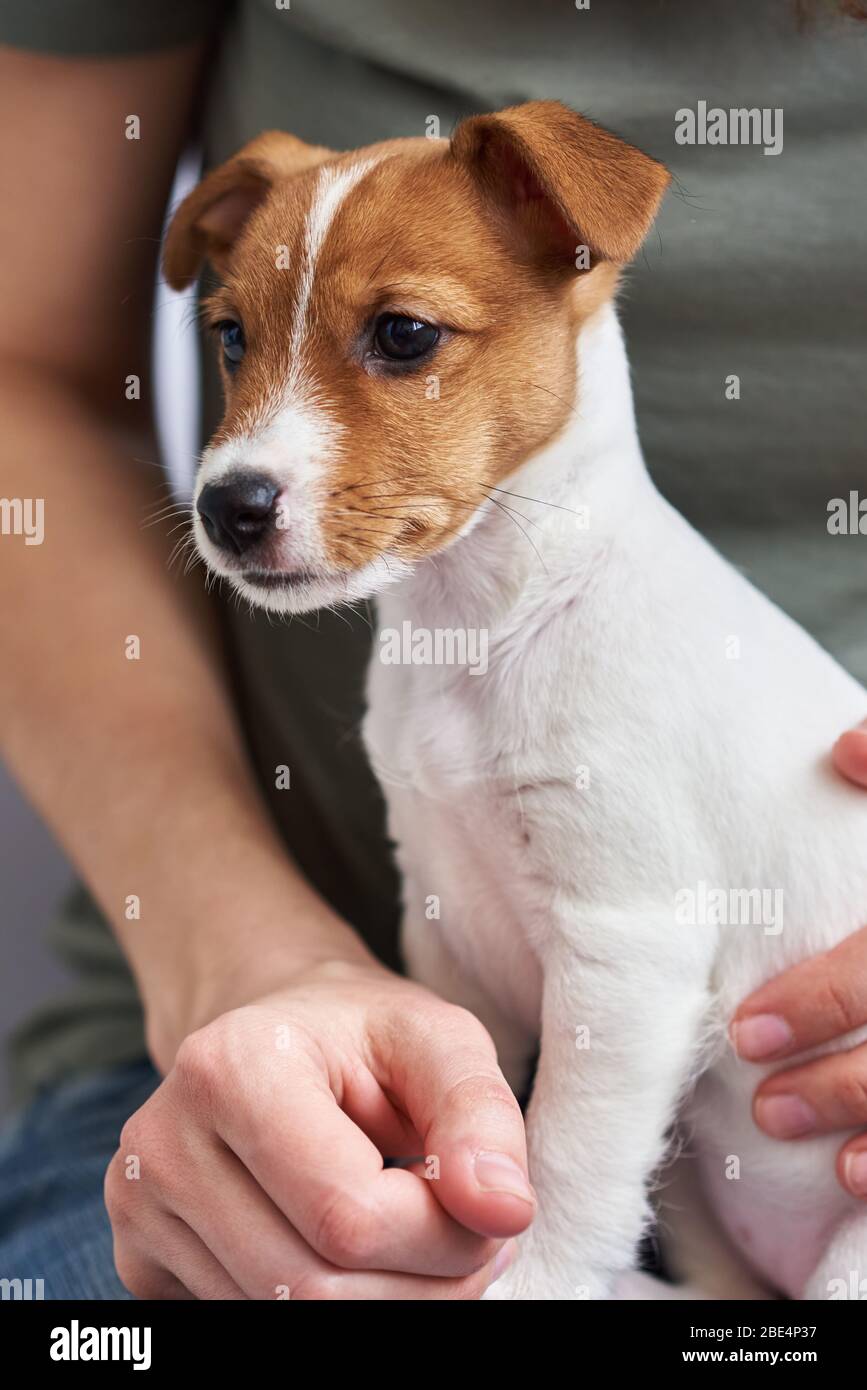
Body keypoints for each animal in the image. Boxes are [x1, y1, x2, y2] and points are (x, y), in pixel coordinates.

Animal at [162, 102, 867, 1295]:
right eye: (229, 339)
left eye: (403, 335)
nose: (227, 506)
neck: (486, 627)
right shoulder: (446, 917)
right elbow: (471, 1086)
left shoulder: (627, 950)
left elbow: (568, 1155)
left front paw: (533, 1272)